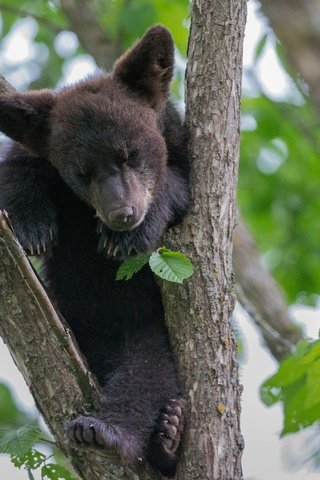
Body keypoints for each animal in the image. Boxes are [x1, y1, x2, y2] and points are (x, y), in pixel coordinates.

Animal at [0, 25, 189, 476]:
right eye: (82, 173)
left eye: (130, 154)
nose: (122, 214)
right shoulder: (34, 147)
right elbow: (18, 168)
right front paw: (32, 225)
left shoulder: (182, 148)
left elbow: (179, 185)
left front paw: (127, 237)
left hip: (150, 329)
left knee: (149, 373)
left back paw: (132, 433)